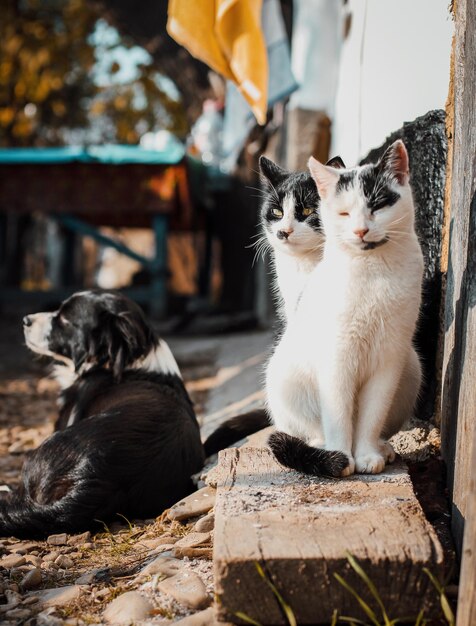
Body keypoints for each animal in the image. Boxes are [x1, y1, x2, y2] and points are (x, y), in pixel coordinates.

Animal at [264, 140, 424, 472]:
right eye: (343, 213)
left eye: (377, 206)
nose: (361, 230)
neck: (372, 270)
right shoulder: (336, 357)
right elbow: (337, 412)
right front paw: (341, 457)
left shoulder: (388, 359)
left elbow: (372, 414)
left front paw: (366, 455)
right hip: (282, 378)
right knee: (312, 427)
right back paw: (321, 447)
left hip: (411, 366)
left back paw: (382, 447)